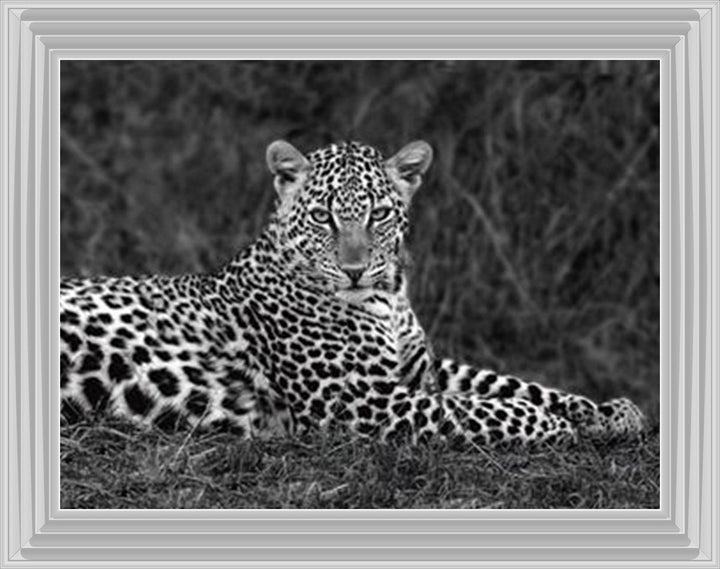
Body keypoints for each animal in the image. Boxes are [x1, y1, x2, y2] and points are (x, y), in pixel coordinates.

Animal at [60, 139, 647, 448]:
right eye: (323, 216)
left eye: (379, 214)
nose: (355, 270)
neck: (389, 297)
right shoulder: (358, 400)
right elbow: (478, 410)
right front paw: (557, 424)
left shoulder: (420, 369)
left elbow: (506, 383)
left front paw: (607, 411)